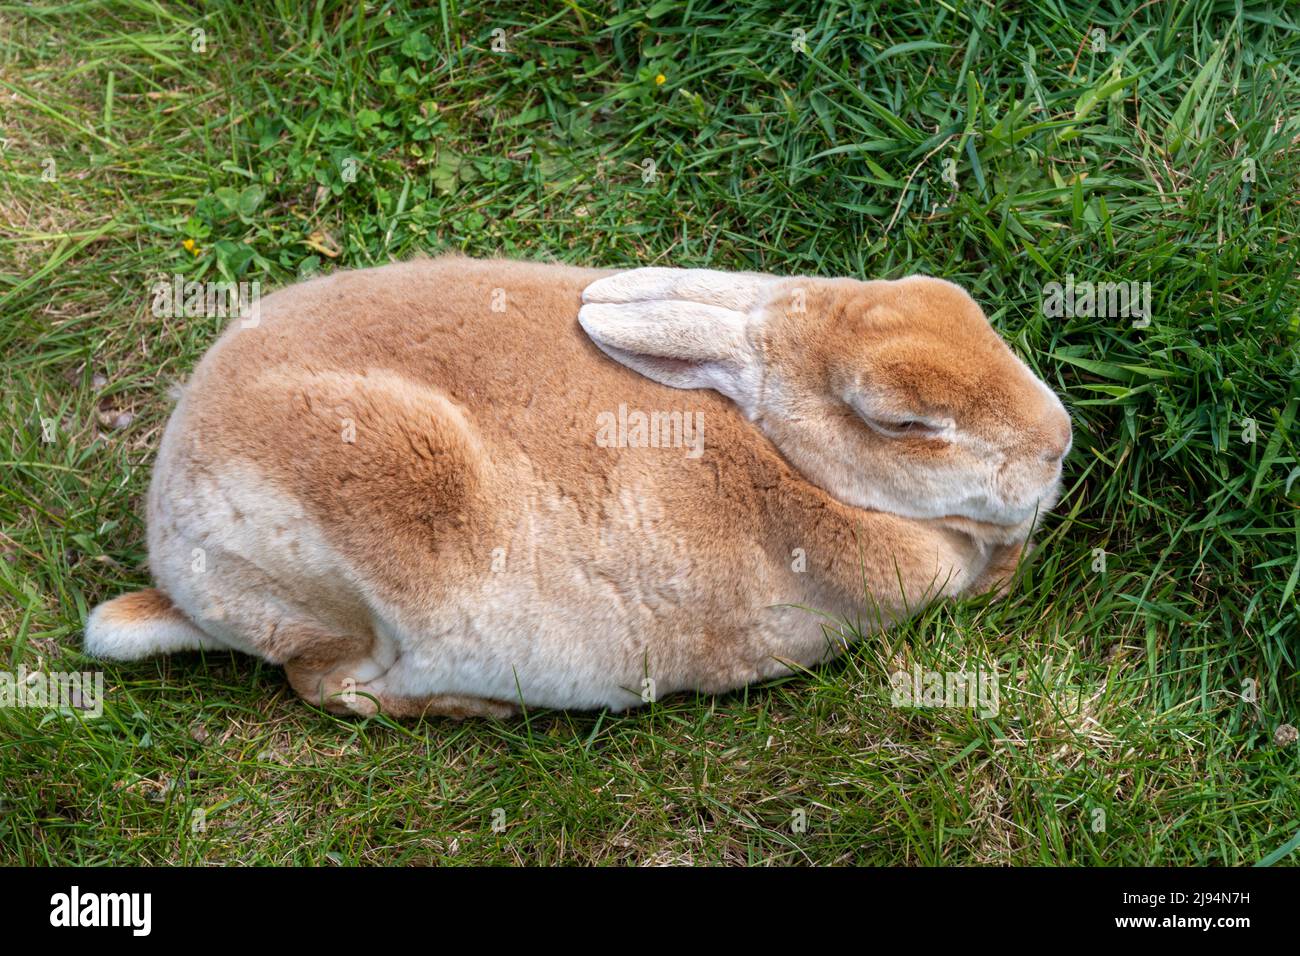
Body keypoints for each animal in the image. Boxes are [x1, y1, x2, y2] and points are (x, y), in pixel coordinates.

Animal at [86, 254, 1071, 717]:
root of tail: (173, 560)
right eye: (904, 424)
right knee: (325, 685)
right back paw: (469, 705)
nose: (1058, 443)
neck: (782, 453)